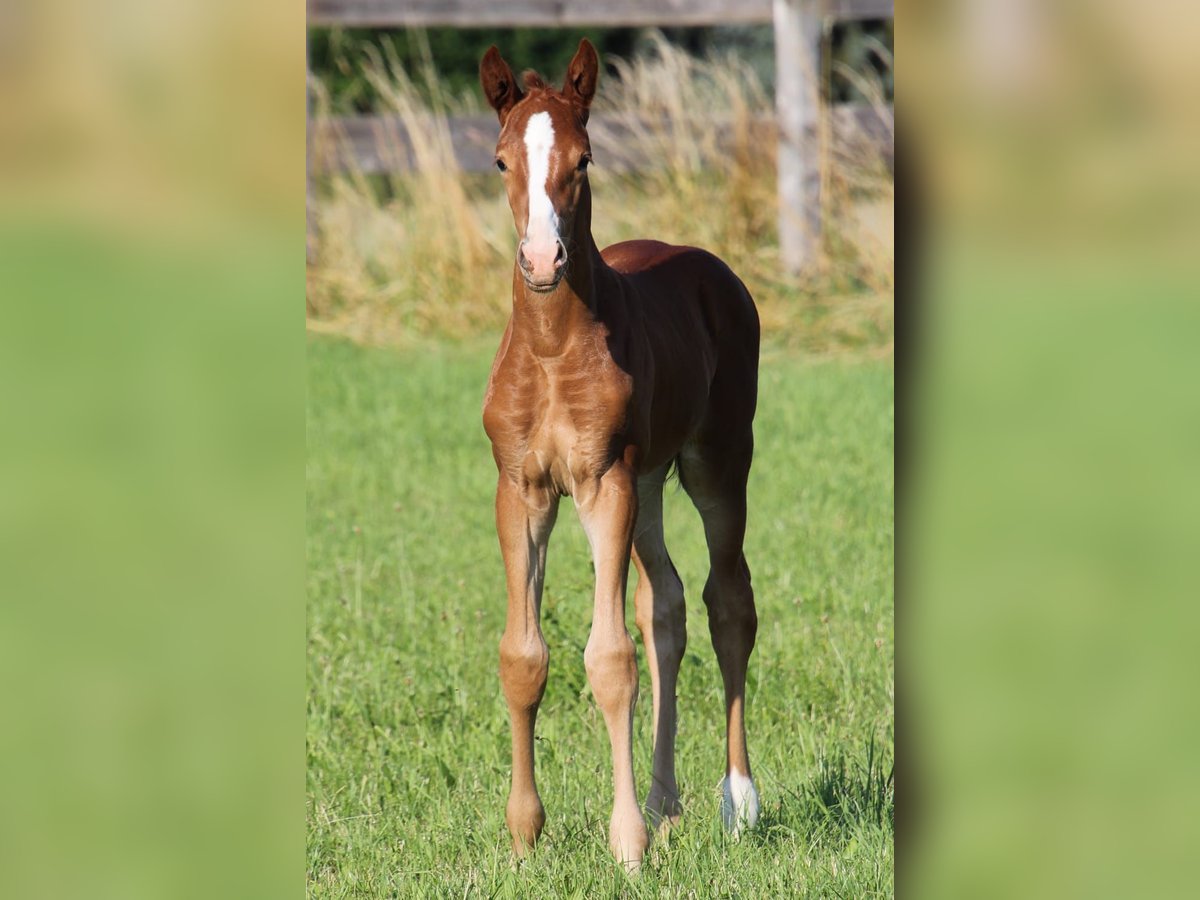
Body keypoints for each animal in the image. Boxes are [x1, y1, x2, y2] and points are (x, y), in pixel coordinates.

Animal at [477, 38, 758, 868]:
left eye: (584, 158)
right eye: (501, 161)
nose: (543, 259)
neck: (551, 348)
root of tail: (705, 262)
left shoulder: (604, 484)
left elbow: (609, 659)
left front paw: (627, 844)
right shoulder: (522, 488)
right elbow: (524, 657)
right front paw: (524, 836)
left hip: (715, 463)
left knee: (728, 601)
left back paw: (738, 801)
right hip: (653, 481)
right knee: (665, 606)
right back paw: (668, 805)